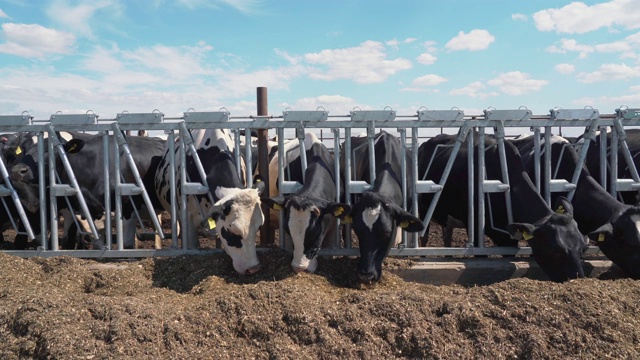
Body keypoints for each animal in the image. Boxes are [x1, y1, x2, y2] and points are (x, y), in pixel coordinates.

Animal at [4, 130, 165, 250]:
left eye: (50, 149)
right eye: (24, 150)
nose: (17, 171)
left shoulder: (124, 207)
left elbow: (123, 244)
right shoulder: (77, 209)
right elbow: (79, 241)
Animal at [418, 131, 588, 282]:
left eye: (583, 248)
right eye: (555, 250)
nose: (577, 278)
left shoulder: (508, 238)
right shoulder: (476, 228)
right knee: (424, 237)